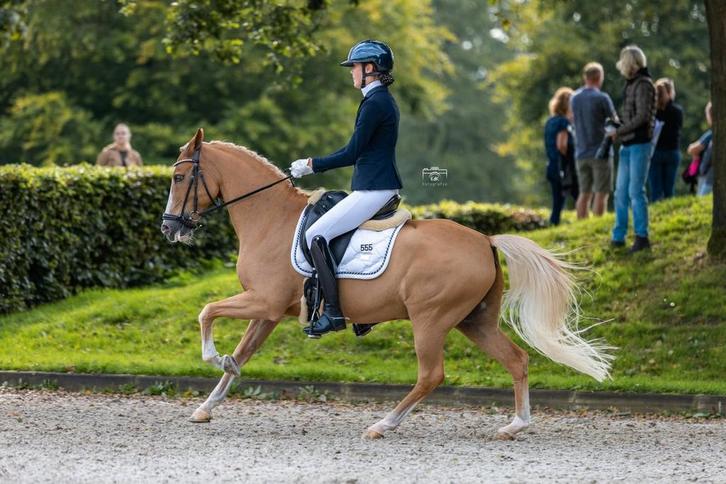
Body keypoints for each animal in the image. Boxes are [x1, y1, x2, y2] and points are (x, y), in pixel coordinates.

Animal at [160, 128, 613, 440]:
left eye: (180, 179)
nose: (168, 228)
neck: (269, 217)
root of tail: (485, 239)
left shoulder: (263, 302)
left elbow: (207, 312)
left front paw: (214, 358)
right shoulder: (270, 311)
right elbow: (243, 351)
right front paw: (208, 402)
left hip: (430, 320)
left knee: (431, 375)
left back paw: (383, 424)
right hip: (475, 321)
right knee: (517, 360)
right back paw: (515, 425)